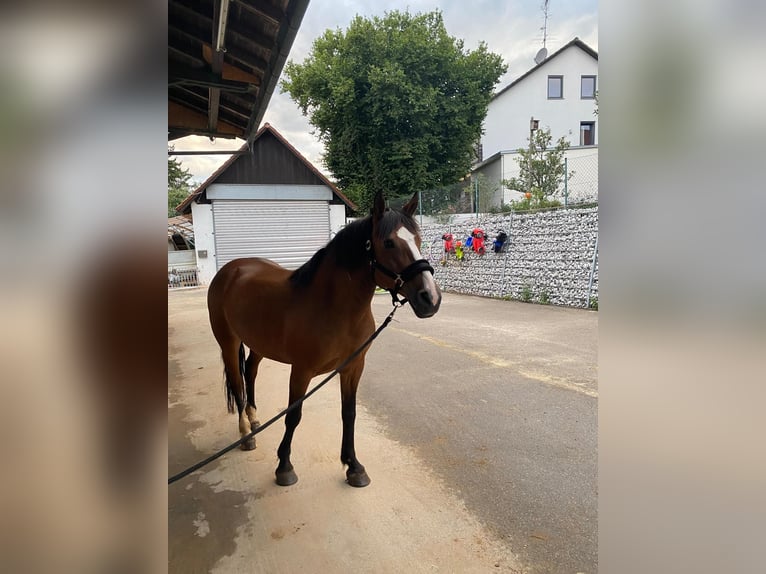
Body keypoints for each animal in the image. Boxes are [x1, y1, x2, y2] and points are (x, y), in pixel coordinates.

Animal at [208, 191, 444, 488]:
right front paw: (284, 466)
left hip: (258, 344)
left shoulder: (353, 367)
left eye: (418, 240)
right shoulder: (301, 370)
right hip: (228, 342)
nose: (430, 298)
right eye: (388, 242)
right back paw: (245, 434)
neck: (332, 306)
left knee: (250, 372)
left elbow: (349, 413)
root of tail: (231, 269)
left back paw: (254, 420)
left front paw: (353, 466)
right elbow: (293, 415)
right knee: (237, 382)